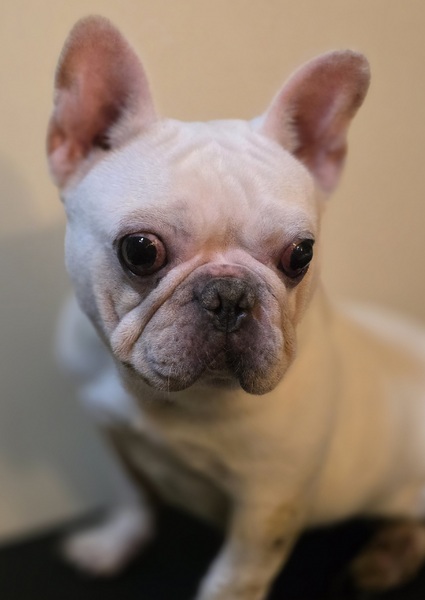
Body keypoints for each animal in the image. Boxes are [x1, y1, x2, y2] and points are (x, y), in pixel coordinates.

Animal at [47, 15, 425, 599]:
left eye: (300, 254)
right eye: (140, 250)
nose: (229, 294)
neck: (168, 400)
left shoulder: (268, 507)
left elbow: (235, 577)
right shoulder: (114, 436)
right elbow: (133, 496)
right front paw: (115, 543)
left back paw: (392, 554)